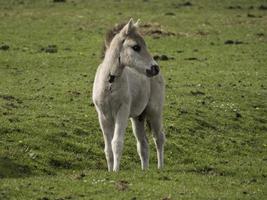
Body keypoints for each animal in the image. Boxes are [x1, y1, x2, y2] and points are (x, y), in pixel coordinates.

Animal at [93, 19, 166, 172]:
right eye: (136, 47)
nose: (155, 68)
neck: (109, 85)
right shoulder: (102, 116)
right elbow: (108, 148)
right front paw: (110, 171)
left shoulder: (122, 111)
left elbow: (117, 143)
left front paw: (115, 171)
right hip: (138, 117)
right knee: (143, 144)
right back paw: (144, 170)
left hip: (154, 112)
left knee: (159, 138)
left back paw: (160, 167)